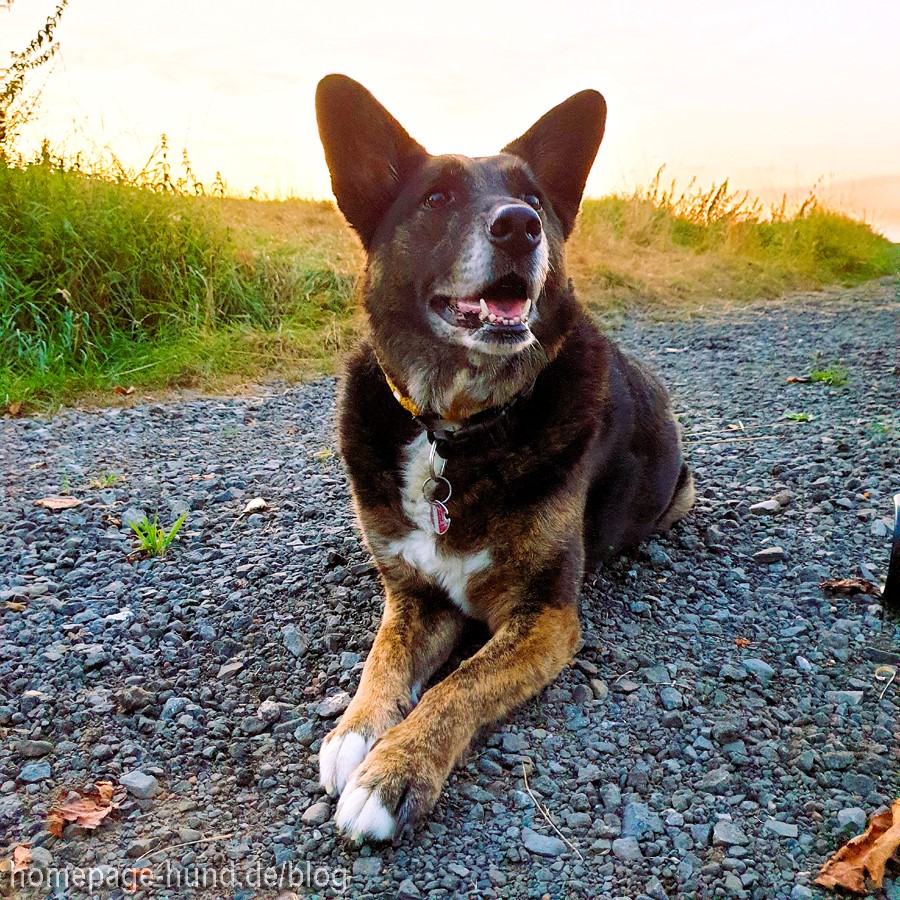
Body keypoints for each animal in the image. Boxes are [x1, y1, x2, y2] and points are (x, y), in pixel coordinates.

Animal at [312, 74, 692, 840]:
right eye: (436, 199)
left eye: (535, 199)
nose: (519, 226)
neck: (453, 426)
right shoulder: (414, 594)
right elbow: (381, 661)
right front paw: (354, 732)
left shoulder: (543, 616)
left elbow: (457, 687)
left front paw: (392, 772)